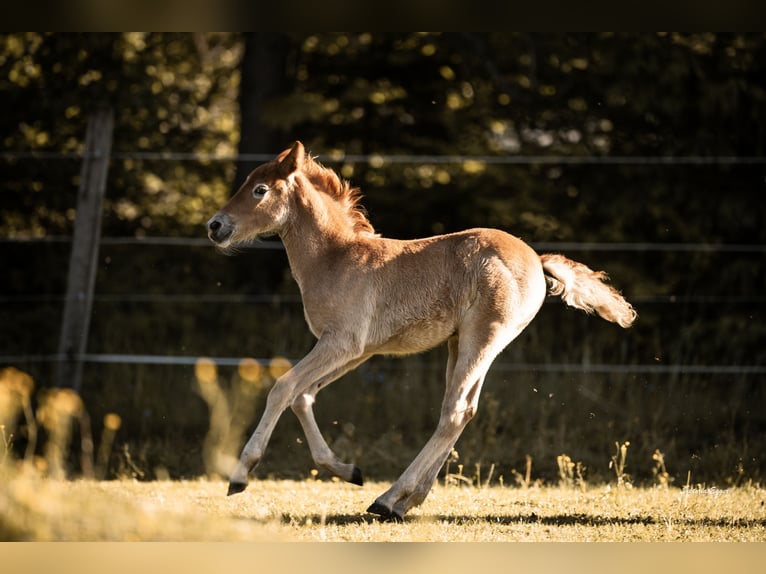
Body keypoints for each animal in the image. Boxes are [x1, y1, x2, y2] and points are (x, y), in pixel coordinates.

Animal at [207, 141, 636, 521]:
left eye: (260, 190)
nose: (215, 225)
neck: (334, 259)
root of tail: (536, 257)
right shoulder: (357, 351)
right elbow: (303, 396)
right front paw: (347, 470)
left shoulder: (342, 343)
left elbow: (282, 388)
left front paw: (241, 475)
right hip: (461, 344)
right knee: (464, 411)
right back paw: (404, 502)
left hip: (483, 338)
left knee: (453, 411)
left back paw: (388, 499)